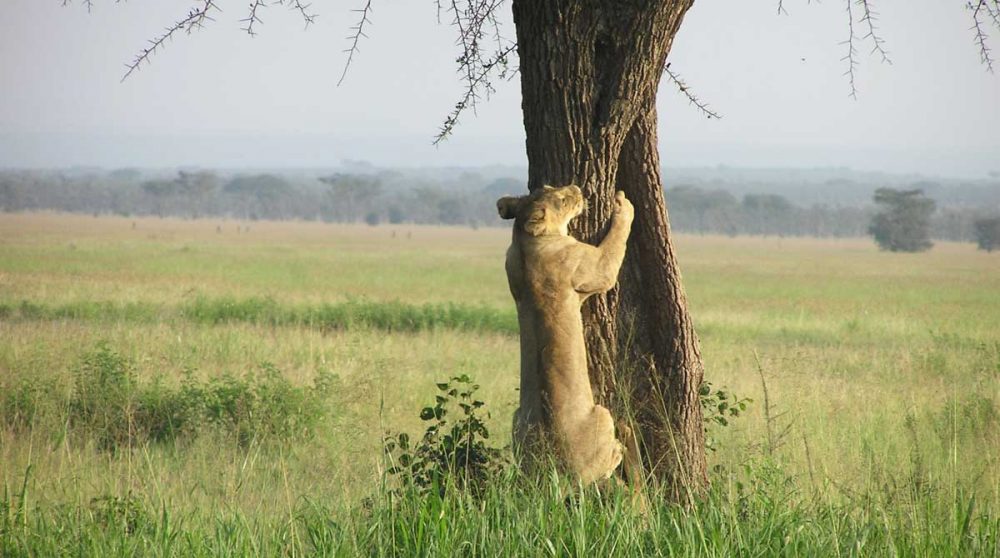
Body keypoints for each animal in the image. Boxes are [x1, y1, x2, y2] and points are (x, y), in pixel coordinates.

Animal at [497, 184, 634, 485]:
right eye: (561, 199)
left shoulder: (510, 265)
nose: (577, 188)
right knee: (609, 459)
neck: (524, 241)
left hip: (517, 422)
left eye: (548, 187)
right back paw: (620, 448)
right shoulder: (594, 267)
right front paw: (623, 204)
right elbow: (614, 247)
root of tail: (555, 469)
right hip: (602, 414)